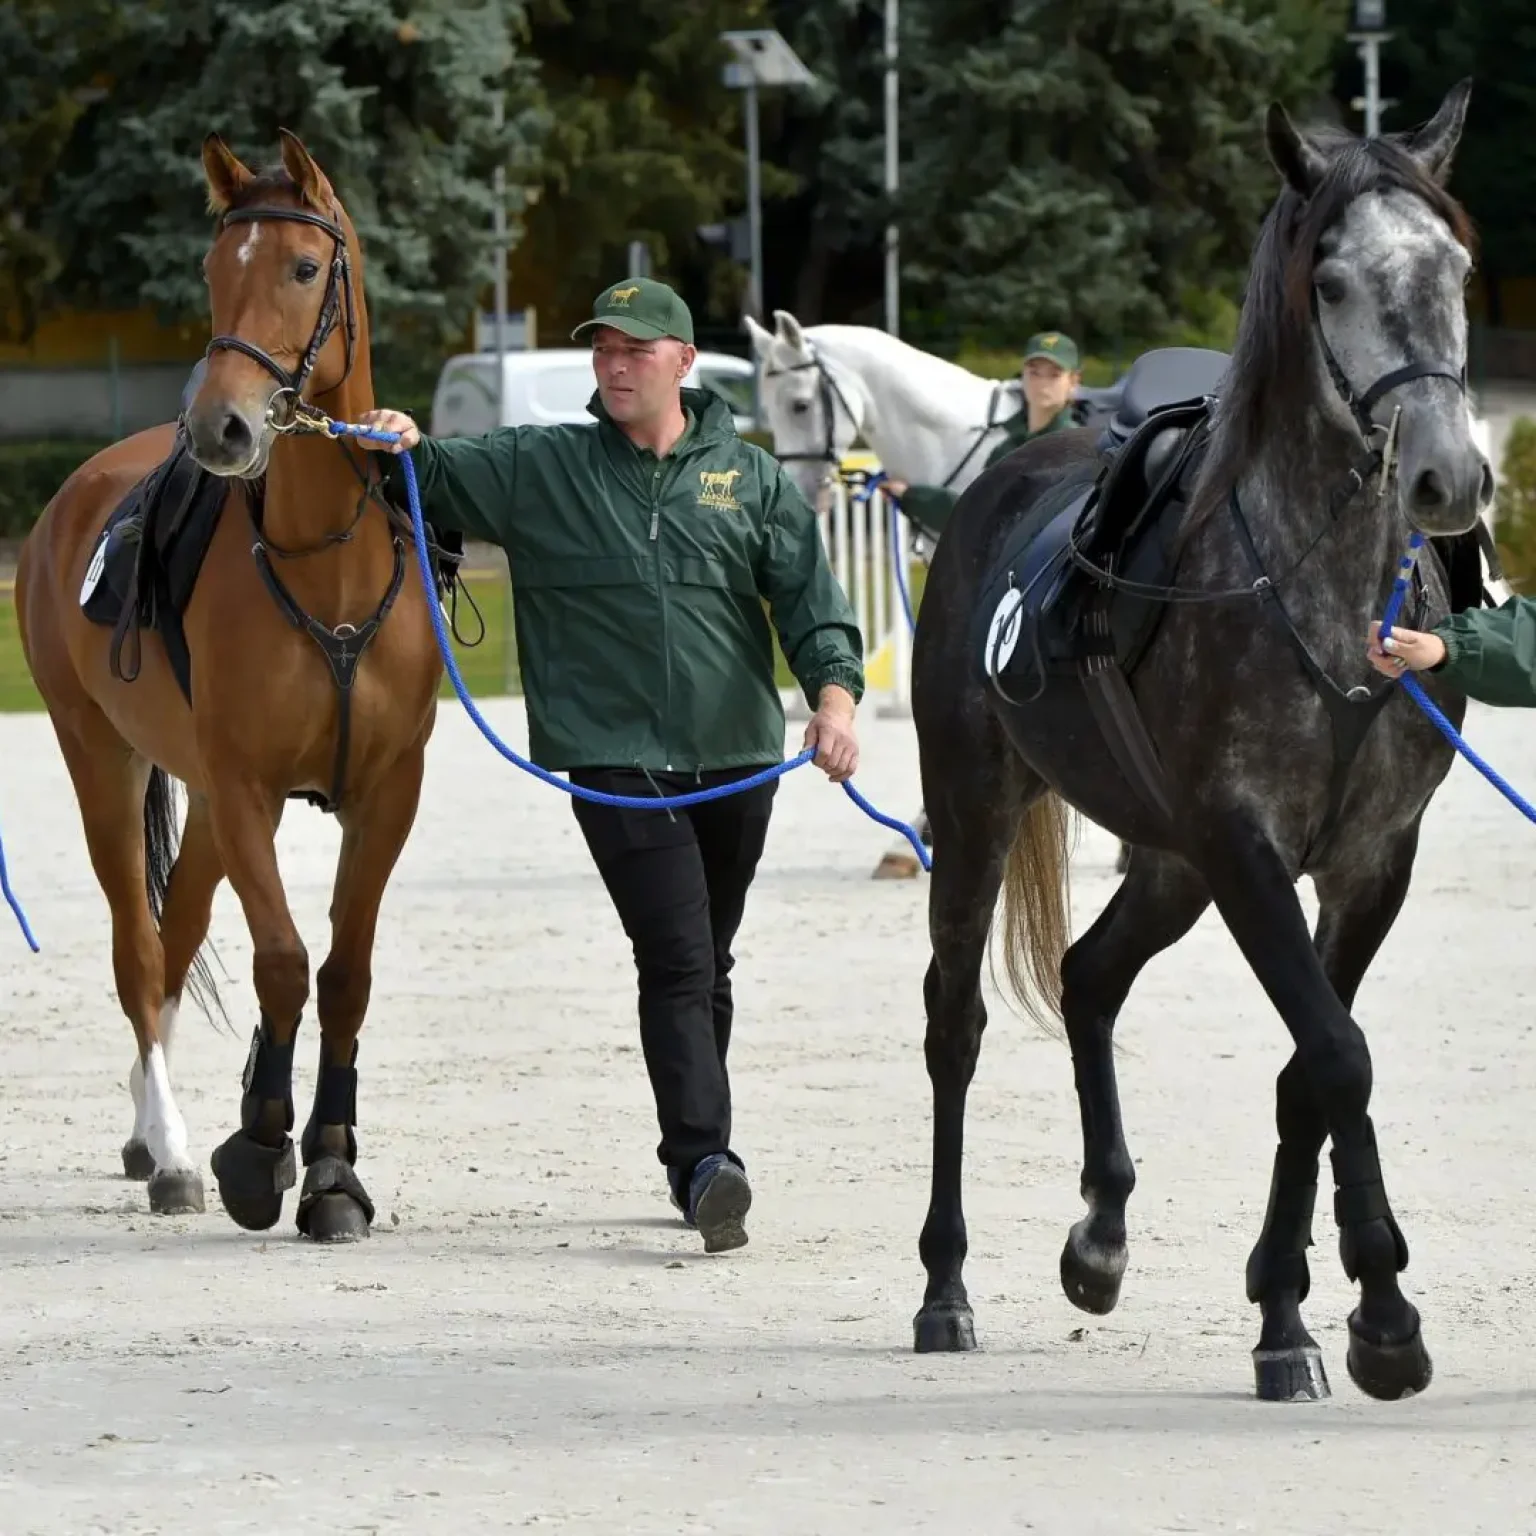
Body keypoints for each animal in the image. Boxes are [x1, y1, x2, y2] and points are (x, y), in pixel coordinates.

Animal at [14, 129, 445, 1234]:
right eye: (214, 272)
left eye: (304, 268)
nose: (222, 428)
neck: (322, 561)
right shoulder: (251, 791)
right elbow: (284, 961)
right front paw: (260, 1148)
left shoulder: (385, 794)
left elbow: (344, 974)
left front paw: (330, 1167)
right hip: (101, 759)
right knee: (139, 951)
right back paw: (166, 1149)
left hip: (201, 801)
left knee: (175, 940)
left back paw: (145, 1131)